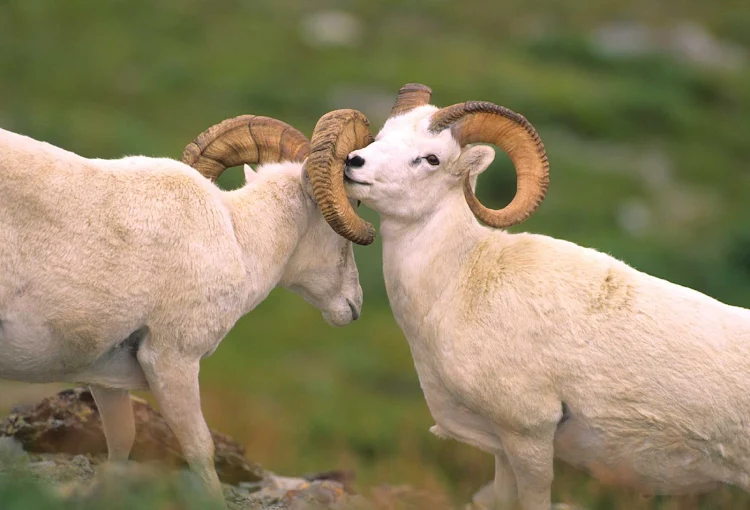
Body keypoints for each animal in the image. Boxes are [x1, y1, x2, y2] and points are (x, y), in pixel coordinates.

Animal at [0, 113, 373, 502]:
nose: (354, 304)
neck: (238, 240)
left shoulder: (106, 380)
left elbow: (120, 443)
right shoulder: (172, 360)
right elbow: (199, 450)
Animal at [304, 84, 750, 510]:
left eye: (431, 159)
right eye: (382, 137)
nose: (354, 164)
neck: (460, 283)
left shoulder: (529, 437)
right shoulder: (502, 449)